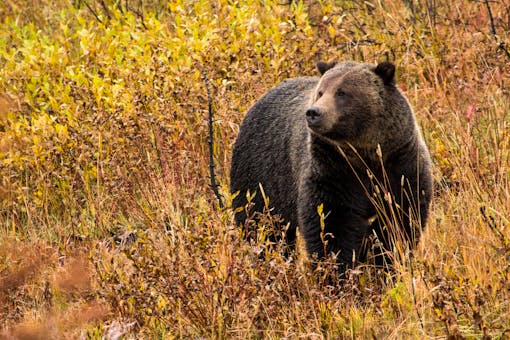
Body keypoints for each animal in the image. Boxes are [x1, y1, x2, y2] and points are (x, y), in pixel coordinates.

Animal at [229, 60, 432, 268]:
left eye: (342, 92)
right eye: (321, 92)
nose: (313, 112)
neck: (365, 156)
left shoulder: (401, 164)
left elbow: (400, 217)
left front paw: (381, 258)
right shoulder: (332, 169)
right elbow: (331, 223)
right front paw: (337, 266)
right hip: (261, 176)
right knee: (262, 225)